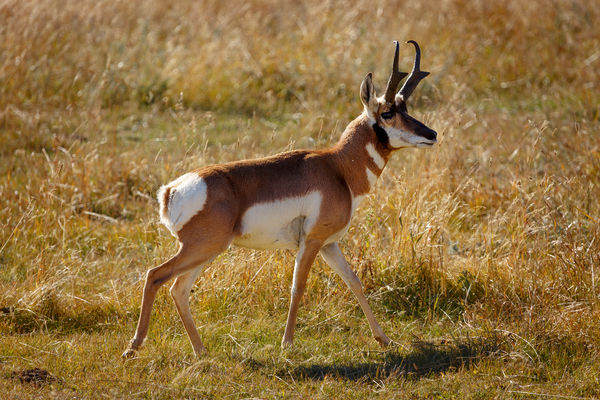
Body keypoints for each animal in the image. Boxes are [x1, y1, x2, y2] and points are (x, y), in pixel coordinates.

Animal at [124, 40, 438, 358]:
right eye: (387, 112)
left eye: (405, 107)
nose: (432, 134)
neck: (337, 167)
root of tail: (172, 189)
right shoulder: (311, 242)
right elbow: (298, 286)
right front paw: (287, 343)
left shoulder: (329, 244)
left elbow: (354, 282)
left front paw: (384, 339)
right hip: (201, 249)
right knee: (155, 275)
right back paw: (133, 347)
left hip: (205, 251)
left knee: (178, 289)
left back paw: (200, 351)